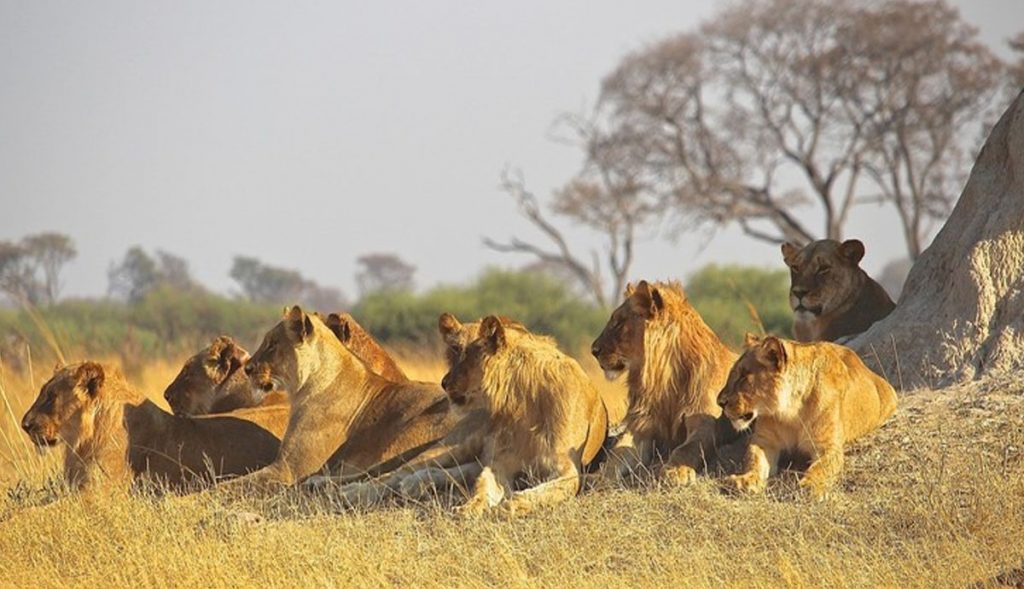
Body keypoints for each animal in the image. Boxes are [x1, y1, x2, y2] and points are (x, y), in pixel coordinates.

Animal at [227, 307, 464, 491]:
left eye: (272, 344)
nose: (247, 369)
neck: (303, 388)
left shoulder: (289, 468)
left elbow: (236, 483)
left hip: (407, 434)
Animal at [442, 313, 606, 516]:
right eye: (454, 350)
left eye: (468, 354)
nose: (444, 383)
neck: (523, 400)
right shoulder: (501, 461)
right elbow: (483, 485)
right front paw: (469, 507)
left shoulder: (567, 468)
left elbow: (539, 493)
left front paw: (508, 506)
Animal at [593, 278, 737, 485]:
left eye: (619, 323)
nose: (593, 350)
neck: (664, 380)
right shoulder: (641, 427)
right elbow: (616, 455)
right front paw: (599, 478)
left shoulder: (706, 424)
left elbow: (687, 448)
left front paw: (675, 471)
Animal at [716, 333, 901, 499]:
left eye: (743, 377)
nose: (719, 402)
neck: (791, 412)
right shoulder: (764, 440)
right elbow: (753, 460)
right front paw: (744, 481)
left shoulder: (828, 447)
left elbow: (821, 468)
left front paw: (810, 486)